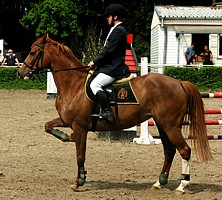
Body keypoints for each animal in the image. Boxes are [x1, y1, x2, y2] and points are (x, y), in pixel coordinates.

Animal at [18, 34, 212, 194]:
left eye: (33, 52)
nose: (21, 73)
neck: (74, 85)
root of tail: (179, 83)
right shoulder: (67, 121)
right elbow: (47, 126)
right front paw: (67, 137)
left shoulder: (80, 126)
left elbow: (80, 155)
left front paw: (79, 181)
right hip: (162, 124)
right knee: (170, 150)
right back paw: (160, 181)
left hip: (170, 125)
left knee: (184, 150)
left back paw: (182, 185)